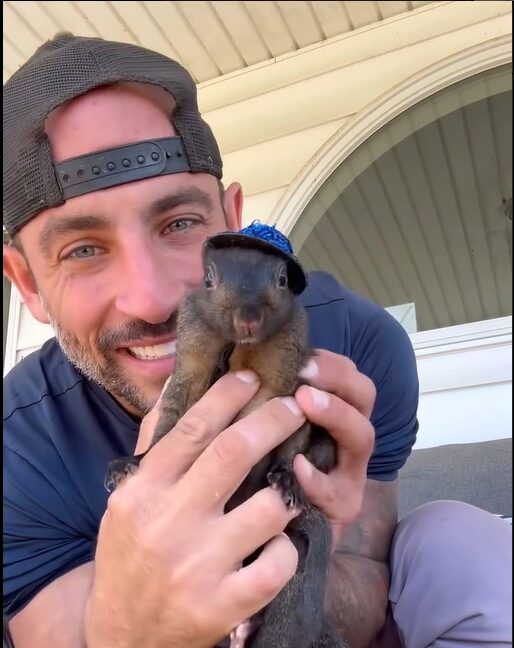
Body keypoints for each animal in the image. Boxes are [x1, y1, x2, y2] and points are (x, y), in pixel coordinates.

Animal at [104, 232, 346, 648]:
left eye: (283, 280)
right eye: (208, 278)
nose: (248, 317)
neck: (240, 349)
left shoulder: (293, 383)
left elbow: (296, 439)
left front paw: (288, 477)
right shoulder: (191, 366)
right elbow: (170, 418)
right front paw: (138, 458)